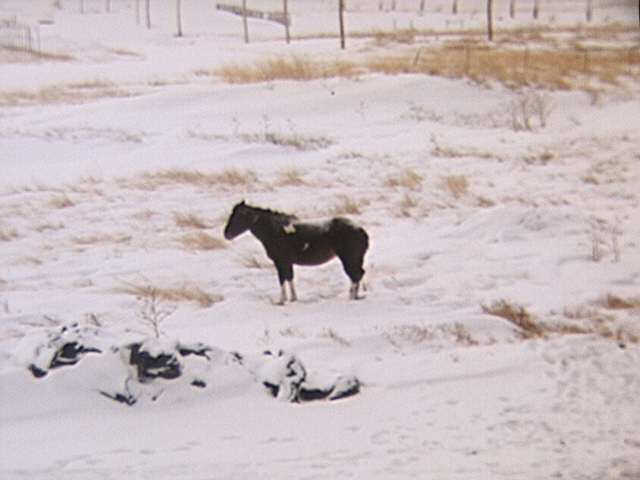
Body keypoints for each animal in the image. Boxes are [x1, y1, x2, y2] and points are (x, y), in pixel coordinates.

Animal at [223, 201, 369, 305]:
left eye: (238, 216)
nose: (226, 234)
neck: (274, 230)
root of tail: (360, 230)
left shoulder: (280, 262)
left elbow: (282, 280)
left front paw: (282, 300)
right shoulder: (287, 263)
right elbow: (290, 278)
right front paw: (293, 299)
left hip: (349, 259)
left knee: (355, 276)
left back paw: (351, 297)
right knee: (358, 275)